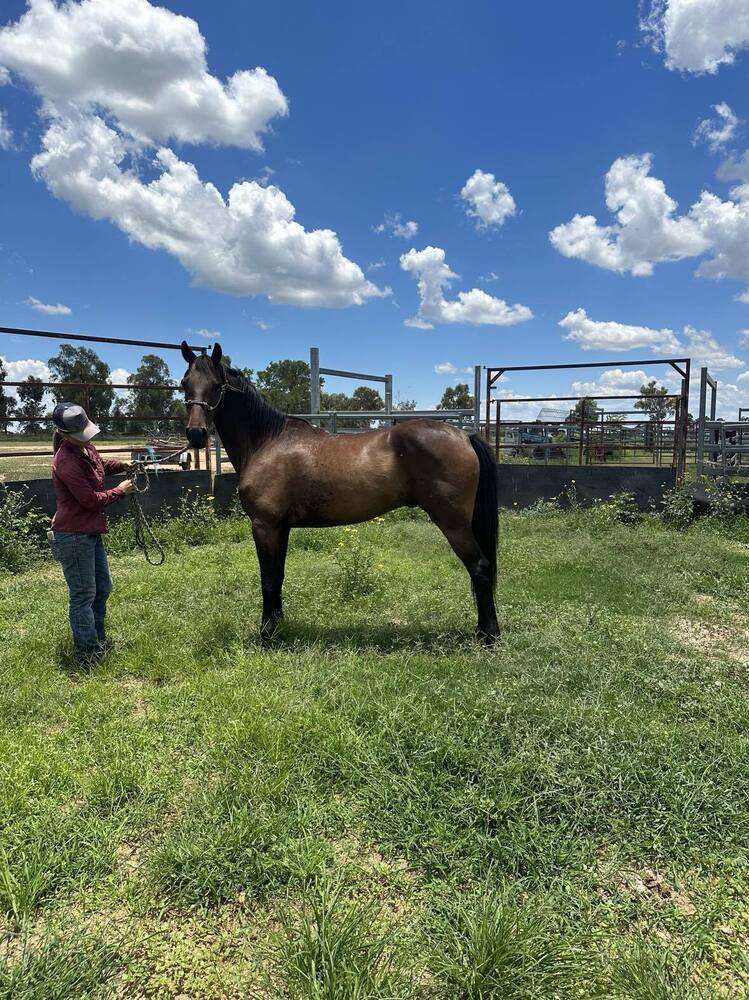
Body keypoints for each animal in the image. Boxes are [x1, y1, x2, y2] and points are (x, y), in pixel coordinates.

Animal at [180, 341, 500, 646]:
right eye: (185, 383)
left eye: (216, 385)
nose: (195, 434)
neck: (267, 441)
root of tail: (464, 435)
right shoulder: (280, 527)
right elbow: (278, 576)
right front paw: (278, 626)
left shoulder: (265, 526)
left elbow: (268, 580)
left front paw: (266, 636)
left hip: (453, 523)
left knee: (480, 569)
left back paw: (489, 636)